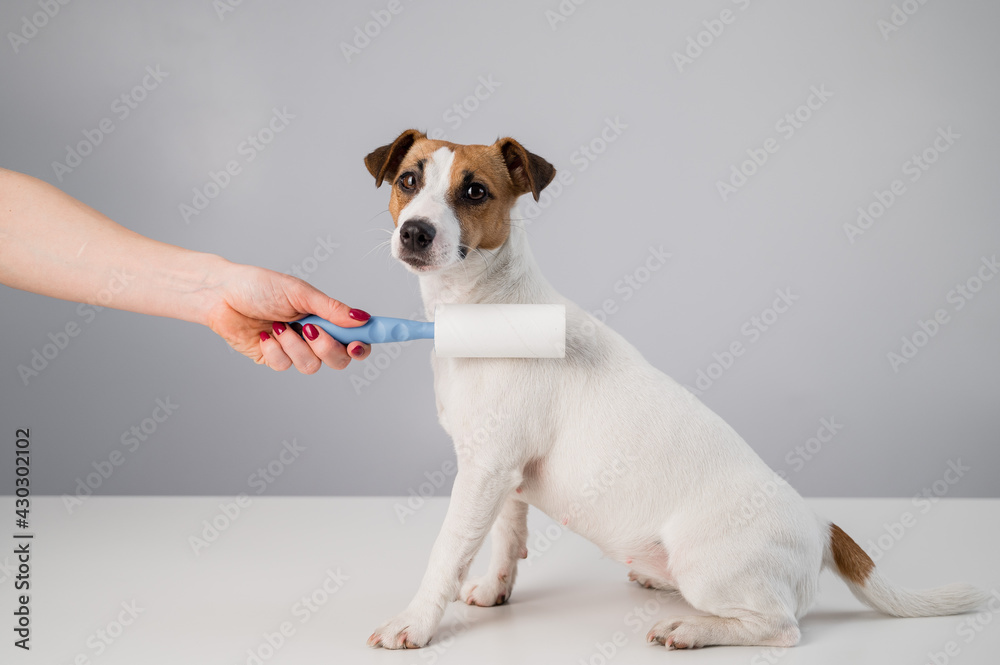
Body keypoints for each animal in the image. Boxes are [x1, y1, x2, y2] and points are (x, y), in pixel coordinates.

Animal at [362, 128, 984, 648]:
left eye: (474, 191)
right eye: (408, 181)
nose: (415, 231)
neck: (484, 307)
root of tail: (820, 527)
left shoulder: (485, 470)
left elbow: (448, 552)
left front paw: (414, 623)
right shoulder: (504, 473)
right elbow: (505, 538)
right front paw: (495, 589)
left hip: (708, 567)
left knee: (779, 628)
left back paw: (691, 629)